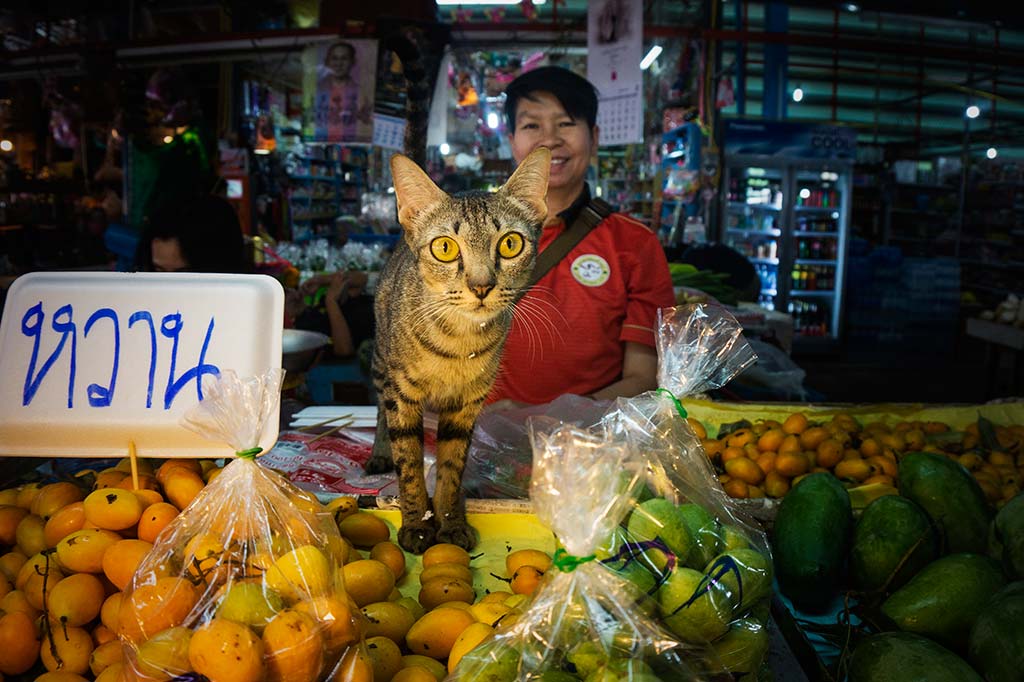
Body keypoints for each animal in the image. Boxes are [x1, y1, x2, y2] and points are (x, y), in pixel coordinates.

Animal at [364, 148, 548, 552]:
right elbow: (409, 464)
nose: (481, 286)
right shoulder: (402, 397)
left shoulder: (466, 405)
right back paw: (379, 452)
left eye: (510, 244)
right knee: (380, 412)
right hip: (381, 363)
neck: (459, 343)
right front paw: (417, 524)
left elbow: (451, 468)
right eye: (445, 248)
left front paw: (449, 523)